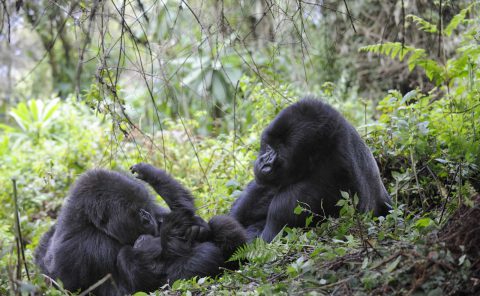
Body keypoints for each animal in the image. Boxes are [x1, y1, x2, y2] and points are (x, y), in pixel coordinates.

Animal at [36, 163, 248, 294]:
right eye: (136, 212)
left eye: (143, 207)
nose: (147, 218)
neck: (88, 221)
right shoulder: (87, 245)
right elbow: (139, 283)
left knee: (221, 225)